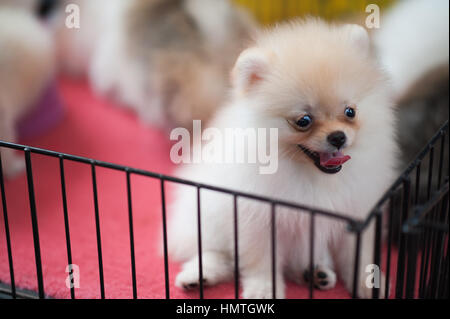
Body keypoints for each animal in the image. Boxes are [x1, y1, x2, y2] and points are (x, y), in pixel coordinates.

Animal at [168, 19, 398, 300]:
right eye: (304, 120)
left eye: (350, 112)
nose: (338, 137)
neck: (312, 176)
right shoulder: (257, 218)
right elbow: (261, 261)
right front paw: (263, 290)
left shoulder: (355, 214)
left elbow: (360, 255)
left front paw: (370, 283)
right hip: (206, 216)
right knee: (215, 252)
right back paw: (198, 275)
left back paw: (317, 273)